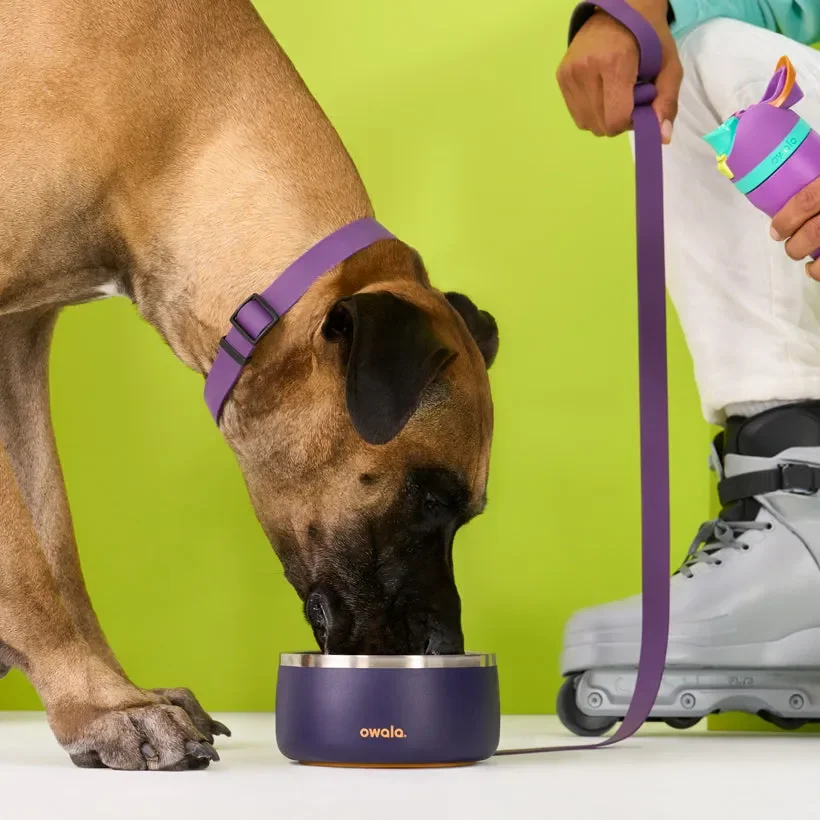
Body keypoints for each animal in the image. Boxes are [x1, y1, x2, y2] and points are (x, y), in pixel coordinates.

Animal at [0, 0, 496, 768]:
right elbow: (25, 563)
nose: (447, 648)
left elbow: (56, 548)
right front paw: (104, 706)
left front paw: (114, 694)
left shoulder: (20, 340)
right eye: (426, 494)